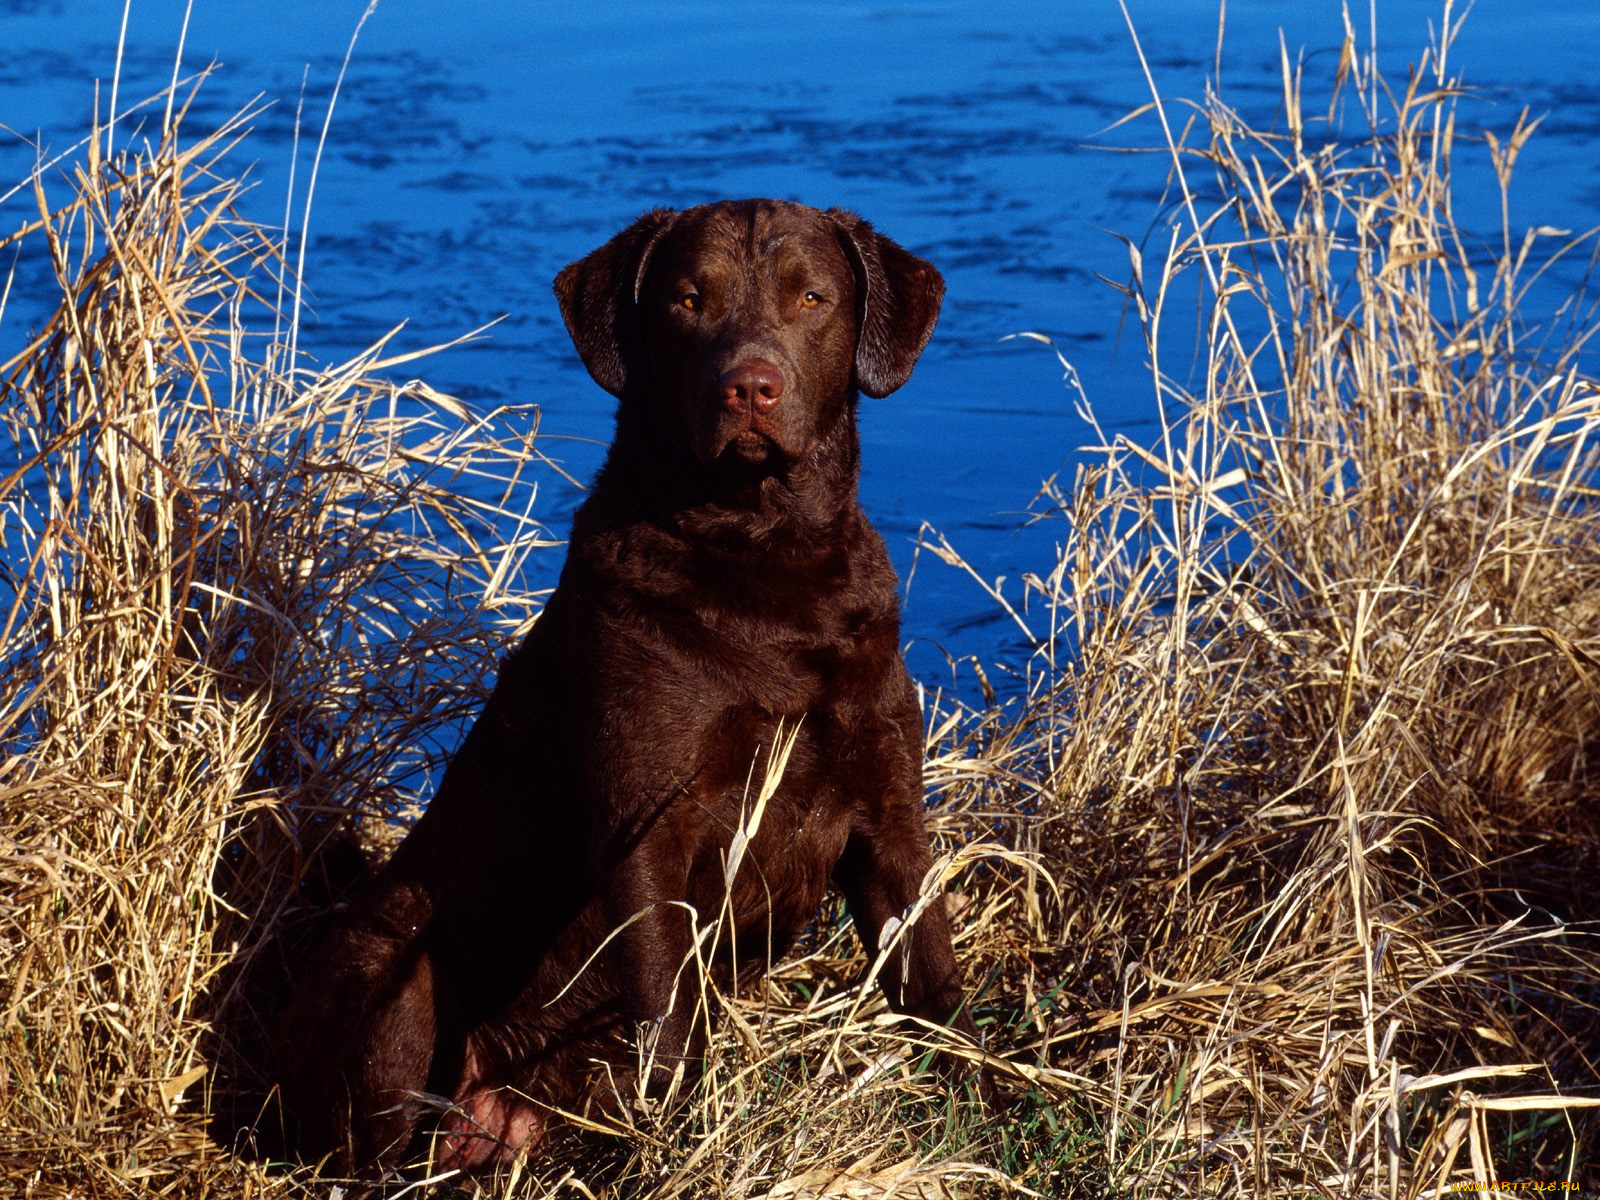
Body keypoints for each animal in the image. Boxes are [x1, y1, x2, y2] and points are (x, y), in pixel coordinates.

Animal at [280, 200, 972, 1177]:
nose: (750, 388)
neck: (765, 561)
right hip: (391, 973)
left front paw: (998, 1097)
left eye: (812, 297)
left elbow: (934, 982)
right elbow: (665, 1012)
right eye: (687, 300)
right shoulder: (650, 825)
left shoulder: (888, 820)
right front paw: (682, 1144)